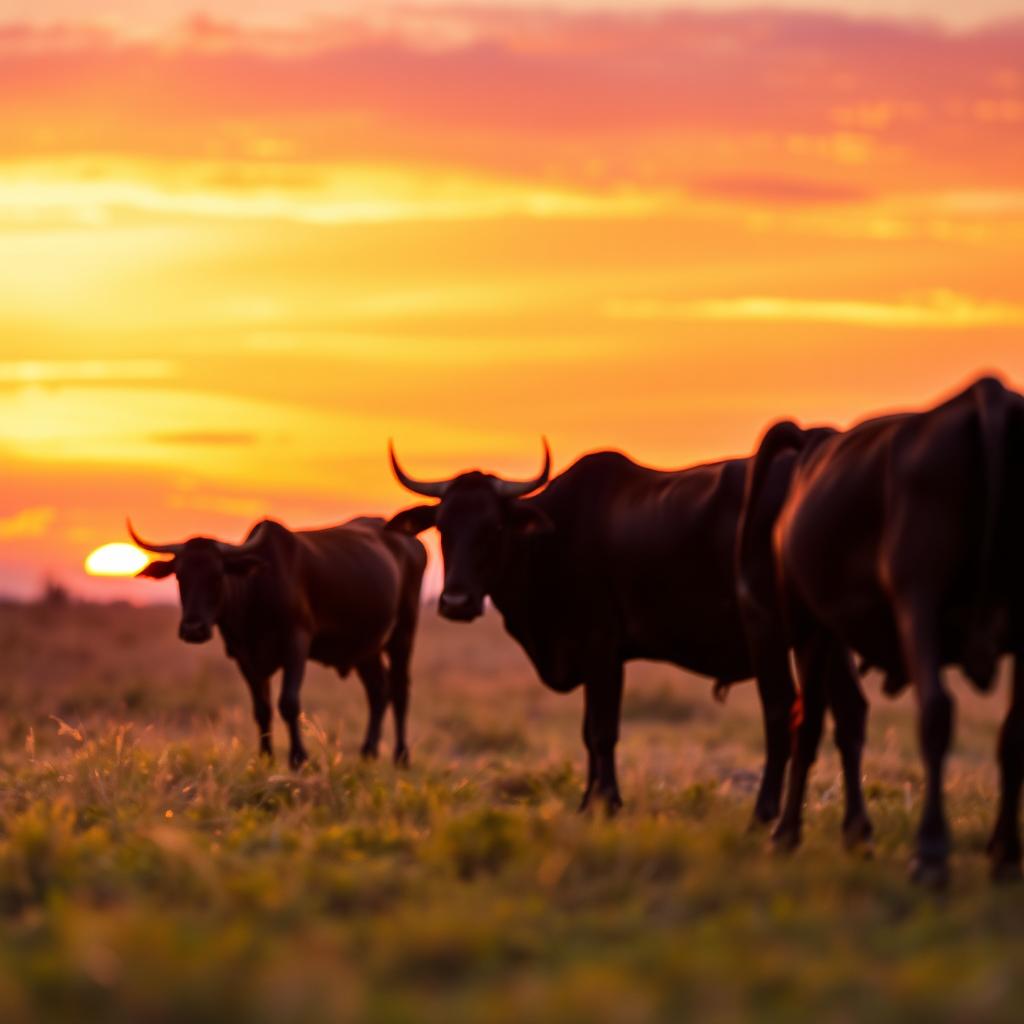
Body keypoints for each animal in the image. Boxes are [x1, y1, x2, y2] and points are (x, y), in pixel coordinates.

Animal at [129, 516, 428, 765]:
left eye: (217, 575)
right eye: (180, 575)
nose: (193, 629)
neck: (256, 589)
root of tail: (410, 542)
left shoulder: (296, 645)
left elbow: (288, 703)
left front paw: (299, 758)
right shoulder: (245, 657)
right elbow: (262, 709)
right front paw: (266, 757)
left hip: (403, 633)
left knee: (400, 688)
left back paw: (401, 756)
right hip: (366, 649)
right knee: (379, 690)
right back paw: (368, 752)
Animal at [387, 440, 802, 823]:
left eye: (495, 526)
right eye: (443, 526)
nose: (456, 602)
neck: (553, 539)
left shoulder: (602, 650)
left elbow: (603, 732)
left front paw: (609, 803)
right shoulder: (589, 658)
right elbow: (588, 733)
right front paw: (589, 801)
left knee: (782, 714)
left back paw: (765, 815)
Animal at [745, 378, 1024, 888]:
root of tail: (987, 394)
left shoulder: (814, 625)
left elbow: (808, 724)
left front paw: (788, 833)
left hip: (916, 601)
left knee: (935, 710)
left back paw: (930, 851)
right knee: (1006, 730)